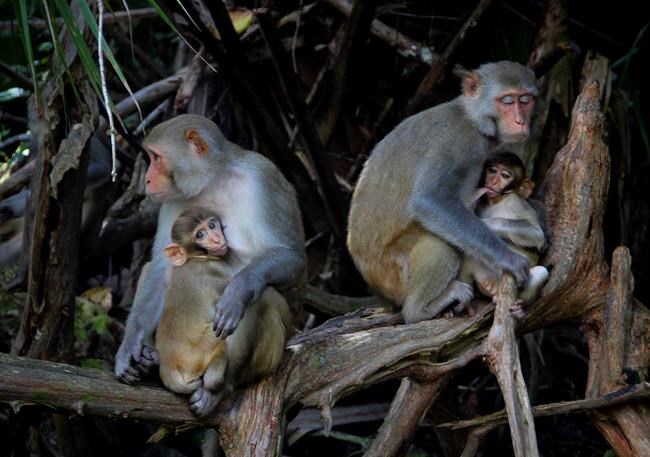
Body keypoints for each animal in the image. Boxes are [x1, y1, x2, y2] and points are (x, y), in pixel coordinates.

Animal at [115, 114, 306, 390]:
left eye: (156, 157)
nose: (147, 180)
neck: (212, 181)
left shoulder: (264, 177)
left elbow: (293, 257)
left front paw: (239, 289)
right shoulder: (174, 199)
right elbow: (162, 268)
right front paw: (130, 345)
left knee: (266, 296)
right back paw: (149, 362)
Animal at [156, 207, 293, 416]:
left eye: (212, 225)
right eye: (200, 235)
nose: (216, 239)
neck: (195, 259)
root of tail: (167, 366)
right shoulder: (218, 270)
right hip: (204, 347)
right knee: (257, 301)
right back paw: (218, 382)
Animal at [347, 61, 538, 323]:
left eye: (526, 99)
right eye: (508, 100)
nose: (521, 121)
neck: (472, 120)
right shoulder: (456, 143)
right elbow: (429, 201)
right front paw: (510, 260)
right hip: (395, 275)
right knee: (439, 238)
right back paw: (419, 310)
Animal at [455, 152, 549, 314]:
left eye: (505, 175)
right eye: (492, 170)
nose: (493, 182)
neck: (498, 201)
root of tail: (493, 285)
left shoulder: (516, 203)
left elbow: (536, 234)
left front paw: (484, 224)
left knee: (541, 272)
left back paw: (519, 308)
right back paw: (467, 306)